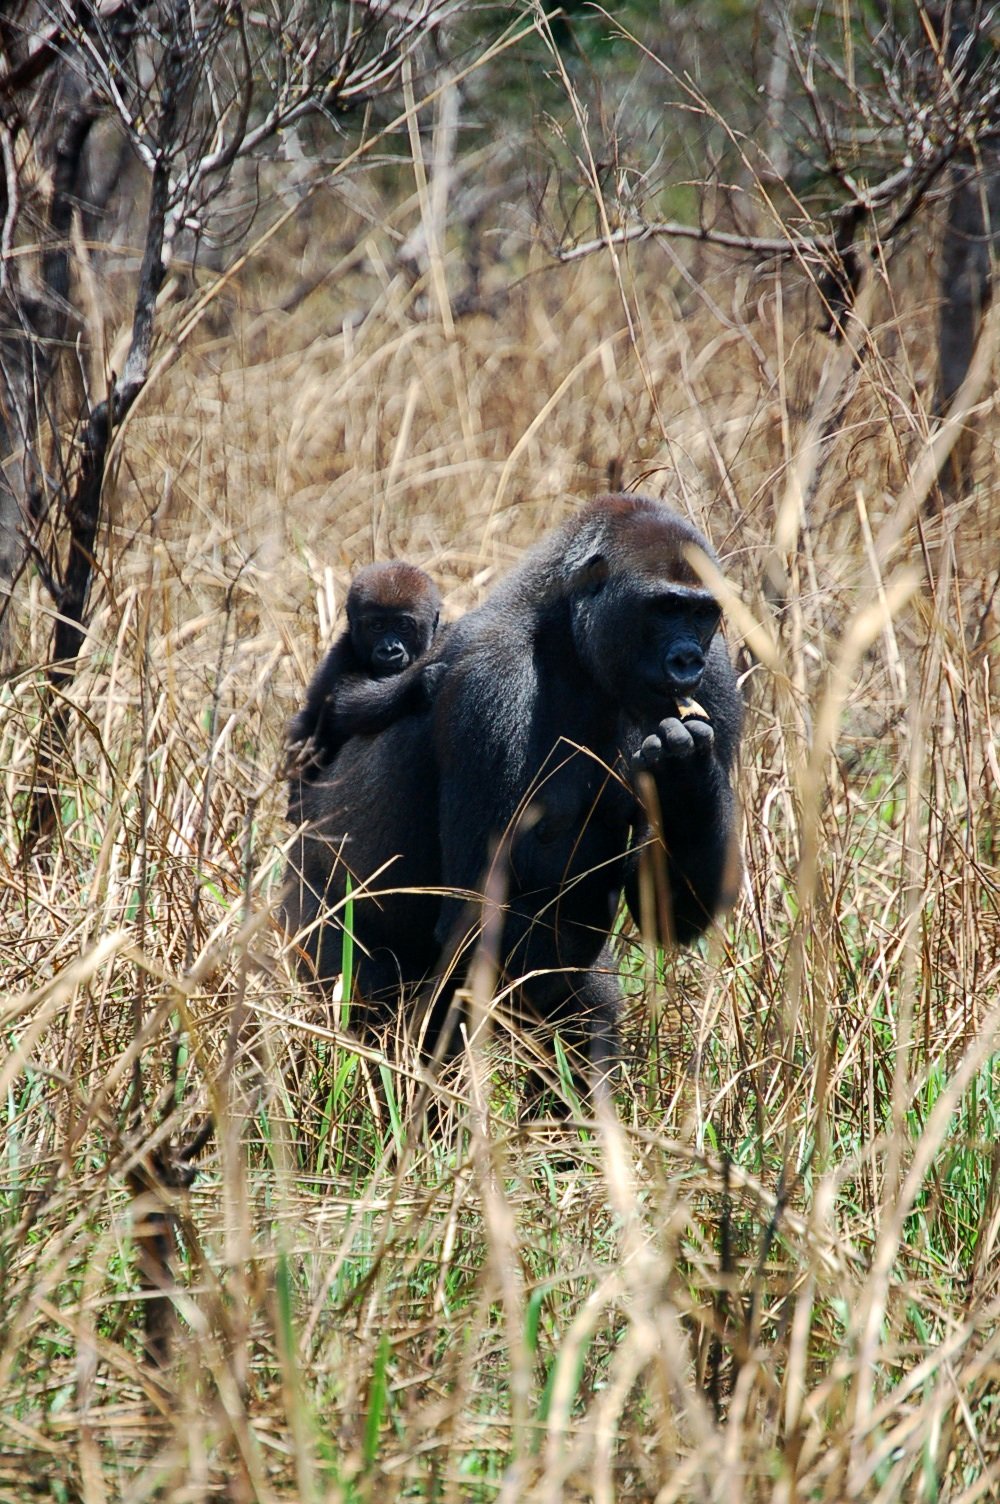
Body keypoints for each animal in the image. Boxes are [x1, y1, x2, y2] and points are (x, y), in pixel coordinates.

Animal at [287, 565, 439, 800]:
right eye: (377, 626)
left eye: (403, 626)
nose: (389, 650)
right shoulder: (342, 657)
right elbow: (347, 705)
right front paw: (418, 686)